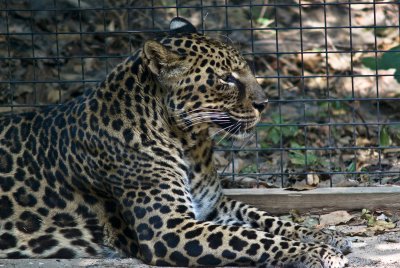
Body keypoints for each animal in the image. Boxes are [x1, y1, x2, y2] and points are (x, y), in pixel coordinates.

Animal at [0, 17, 350, 266]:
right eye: (226, 78)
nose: (264, 104)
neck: (189, 142)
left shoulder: (212, 206)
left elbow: (264, 218)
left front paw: (324, 235)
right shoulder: (169, 229)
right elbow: (252, 239)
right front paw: (319, 252)